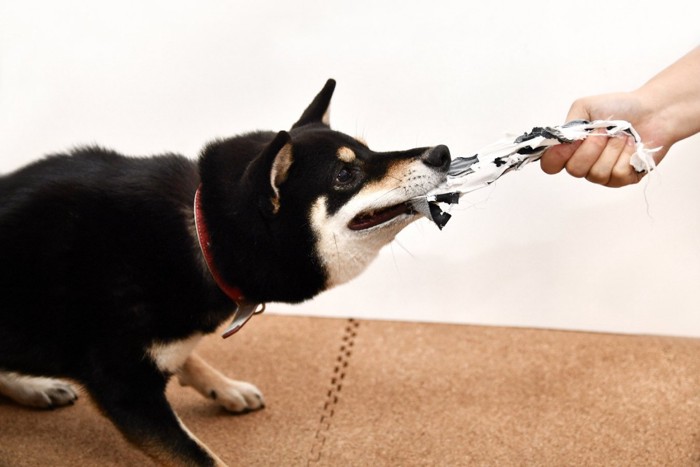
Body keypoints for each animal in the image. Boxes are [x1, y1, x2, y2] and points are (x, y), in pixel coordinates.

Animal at [0, 79, 448, 464]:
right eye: (345, 175)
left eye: (370, 152)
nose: (441, 152)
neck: (204, 235)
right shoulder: (124, 386)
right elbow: (198, 455)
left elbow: (187, 356)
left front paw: (223, 386)